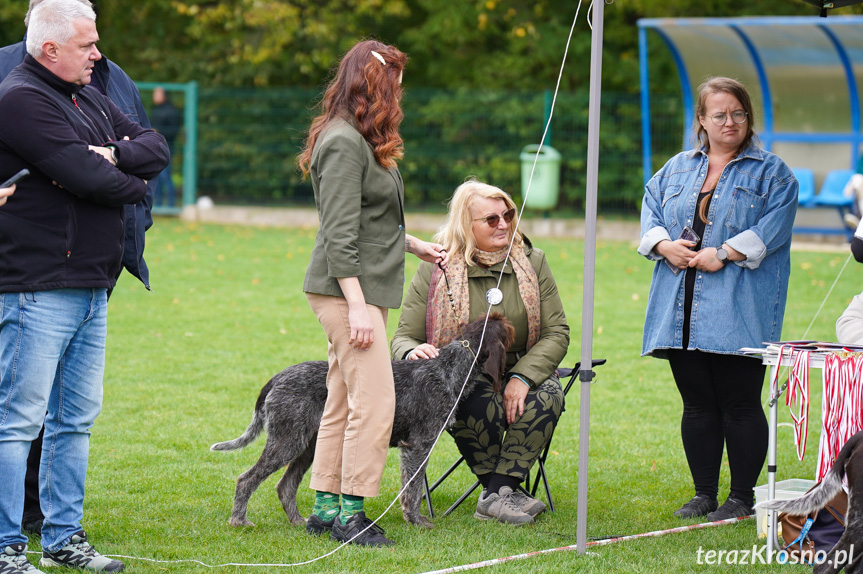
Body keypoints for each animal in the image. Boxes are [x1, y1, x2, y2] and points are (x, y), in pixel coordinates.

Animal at [213, 316, 516, 532]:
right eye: (510, 329)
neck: (448, 369)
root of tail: (278, 376)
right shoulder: (419, 446)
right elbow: (414, 488)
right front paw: (416, 520)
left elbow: (410, 486)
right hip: (287, 442)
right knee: (247, 479)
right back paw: (239, 521)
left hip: (309, 446)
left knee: (285, 486)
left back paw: (298, 521)